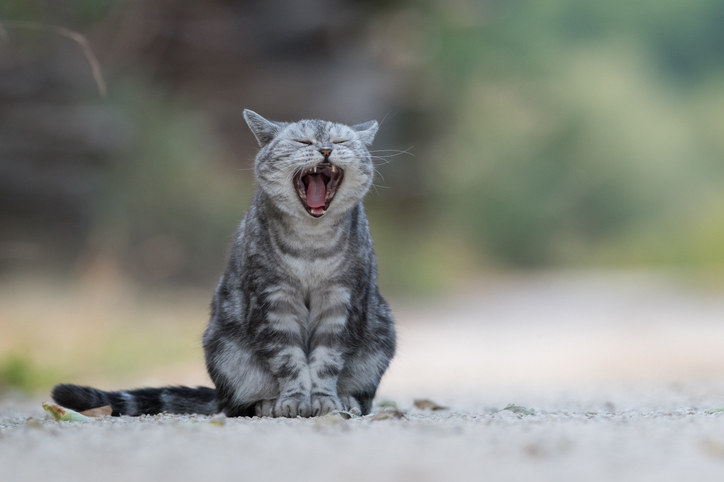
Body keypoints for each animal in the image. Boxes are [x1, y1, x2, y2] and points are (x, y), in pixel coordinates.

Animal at [52, 109, 396, 418]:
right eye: (303, 141)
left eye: (340, 141)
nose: (325, 150)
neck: (312, 242)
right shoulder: (272, 299)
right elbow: (288, 358)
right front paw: (294, 399)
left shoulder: (342, 300)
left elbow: (327, 360)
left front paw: (324, 400)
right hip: (224, 348)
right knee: (237, 404)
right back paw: (268, 404)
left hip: (381, 333)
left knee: (362, 396)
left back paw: (347, 401)